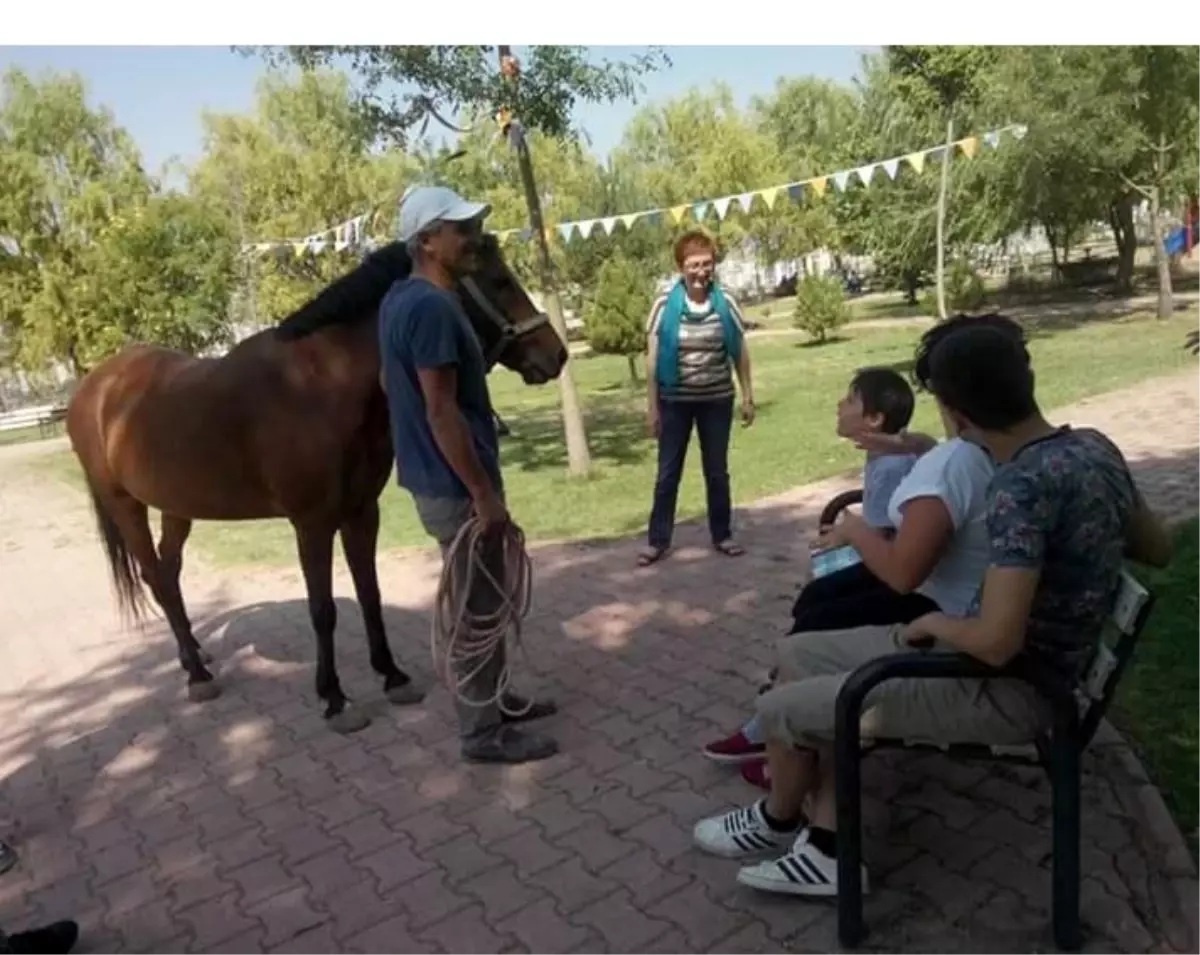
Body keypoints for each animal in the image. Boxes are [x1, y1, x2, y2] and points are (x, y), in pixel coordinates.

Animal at [68, 235, 568, 734]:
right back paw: (196, 674)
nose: (556, 354)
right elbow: (322, 609)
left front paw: (392, 676)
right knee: (155, 576)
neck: (321, 385)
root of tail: (95, 388)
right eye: (499, 281)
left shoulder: (361, 511)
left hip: (177, 506)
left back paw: (196, 657)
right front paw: (334, 698)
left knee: (169, 575)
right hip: (125, 505)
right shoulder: (312, 523)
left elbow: (369, 592)